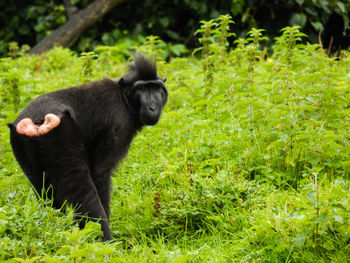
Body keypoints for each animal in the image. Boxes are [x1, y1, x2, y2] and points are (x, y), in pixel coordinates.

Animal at [6, 54, 167, 242]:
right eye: (143, 88)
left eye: (156, 88)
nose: (153, 107)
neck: (123, 98)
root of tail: (38, 120)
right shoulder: (117, 124)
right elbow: (100, 174)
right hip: (63, 137)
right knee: (82, 189)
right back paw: (104, 239)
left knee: (44, 190)